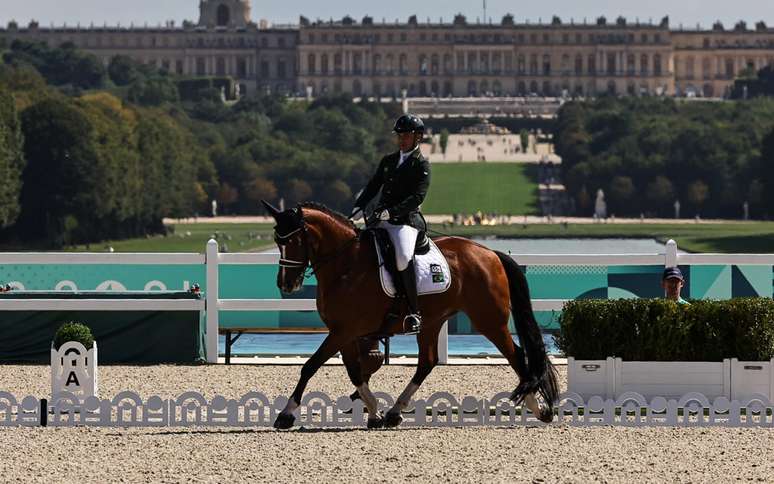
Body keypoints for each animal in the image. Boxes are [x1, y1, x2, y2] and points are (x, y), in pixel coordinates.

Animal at [264, 199, 560, 430]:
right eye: (277, 240)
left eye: (293, 240)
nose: (286, 284)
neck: (345, 265)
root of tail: (490, 254)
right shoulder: (343, 332)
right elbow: (354, 372)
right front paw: (375, 412)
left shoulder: (344, 331)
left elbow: (311, 365)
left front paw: (286, 415)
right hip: (433, 321)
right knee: (427, 362)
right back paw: (395, 412)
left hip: (489, 320)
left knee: (516, 355)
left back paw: (537, 408)